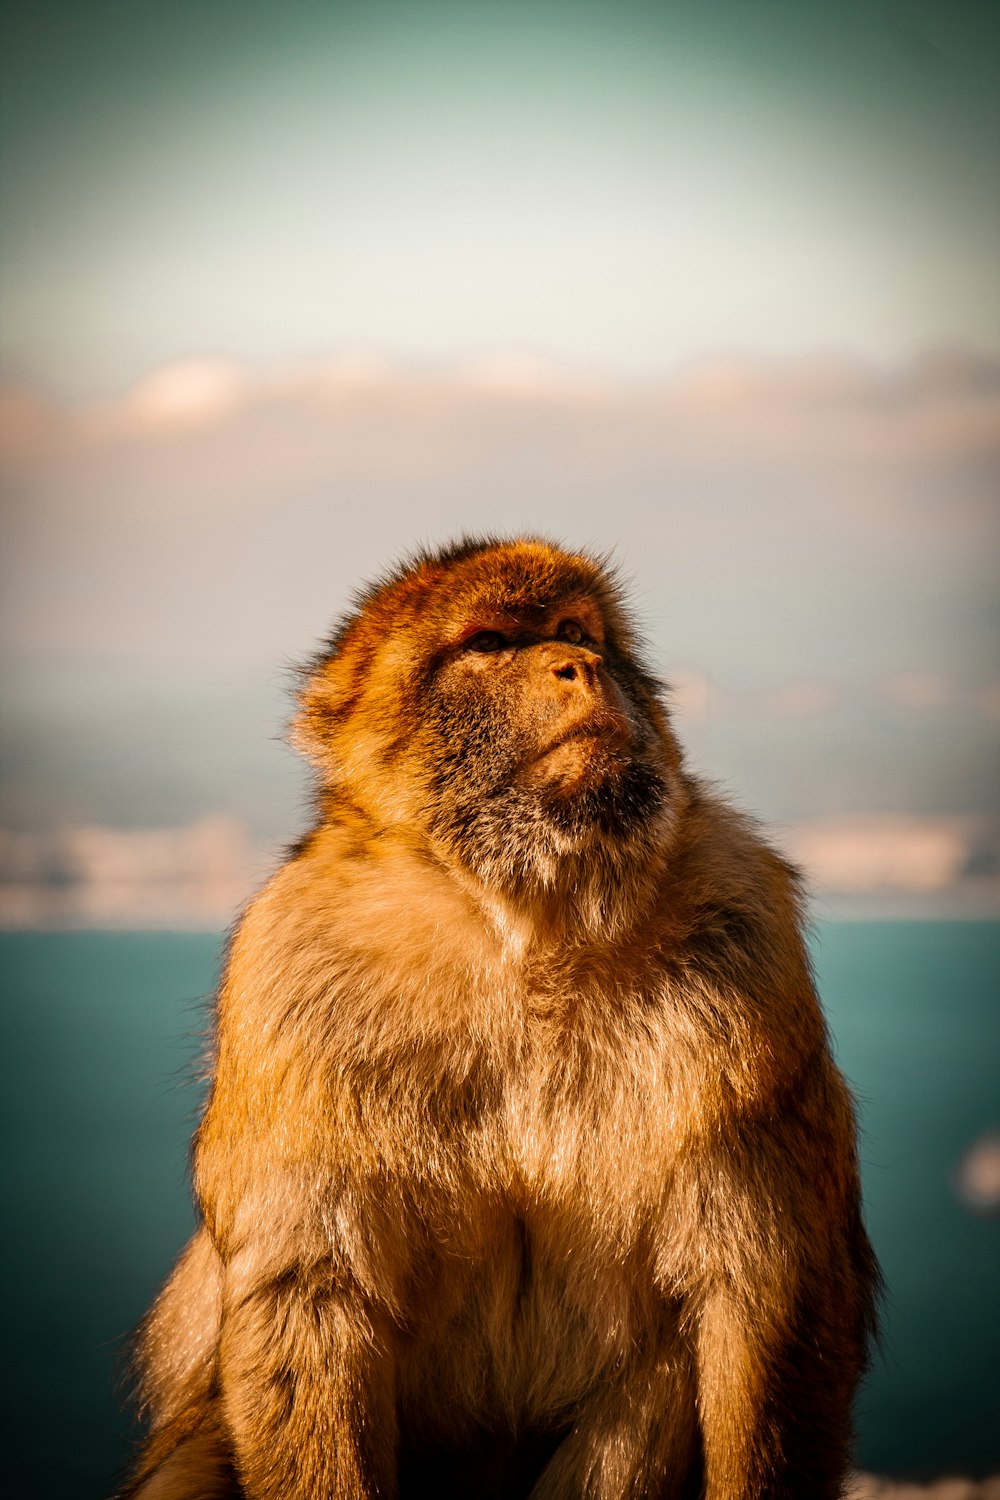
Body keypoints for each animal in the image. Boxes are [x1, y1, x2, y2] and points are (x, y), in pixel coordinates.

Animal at [121, 540, 881, 1500]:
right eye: (487, 643)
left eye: (574, 631)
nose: (579, 666)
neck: (526, 927)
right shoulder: (285, 971)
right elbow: (311, 1294)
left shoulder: (747, 938)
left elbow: (765, 1295)